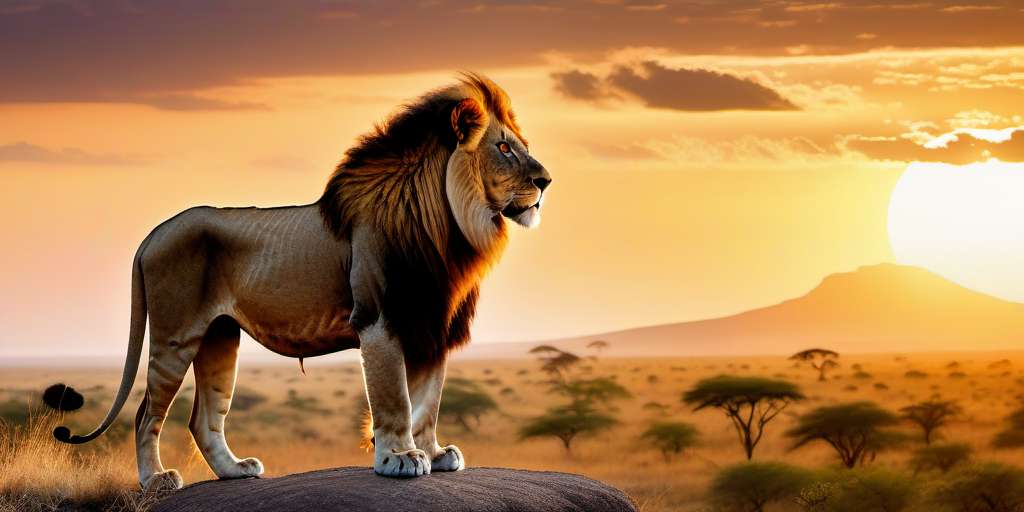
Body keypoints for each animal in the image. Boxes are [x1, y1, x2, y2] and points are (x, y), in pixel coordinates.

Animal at [54, 73, 551, 490]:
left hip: (220, 337)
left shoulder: (431, 326)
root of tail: (155, 232)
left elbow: (427, 401)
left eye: (519, 145)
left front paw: (434, 452)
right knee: (145, 414)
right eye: (504, 148)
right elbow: (396, 398)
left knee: (204, 417)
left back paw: (235, 471)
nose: (546, 180)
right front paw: (400, 458)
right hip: (175, 336)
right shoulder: (380, 318)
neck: (448, 226)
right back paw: (155, 481)